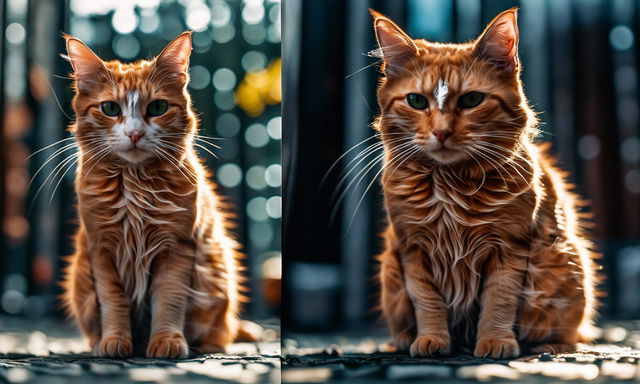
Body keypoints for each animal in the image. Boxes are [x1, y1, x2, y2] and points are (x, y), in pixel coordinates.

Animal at [60, 32, 255, 356]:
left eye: (157, 108)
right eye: (110, 109)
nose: (135, 133)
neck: (135, 185)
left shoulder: (176, 248)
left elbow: (168, 301)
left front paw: (167, 341)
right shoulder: (102, 250)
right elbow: (113, 303)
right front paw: (114, 341)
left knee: (222, 331)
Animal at [372, 7, 596, 358]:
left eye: (472, 100)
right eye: (417, 102)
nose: (441, 132)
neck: (450, 184)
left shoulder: (509, 247)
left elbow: (498, 303)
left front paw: (495, 342)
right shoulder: (413, 250)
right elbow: (428, 303)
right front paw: (431, 340)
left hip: (564, 263)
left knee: (572, 334)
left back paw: (548, 346)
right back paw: (403, 341)